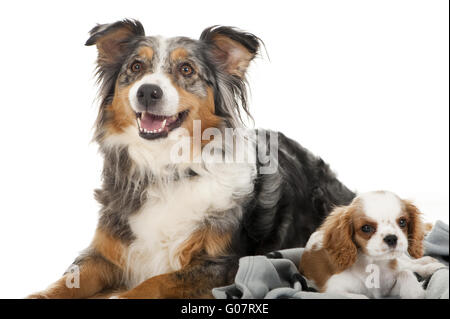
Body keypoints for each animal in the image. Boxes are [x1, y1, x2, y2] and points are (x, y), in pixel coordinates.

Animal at [29, 19, 356, 300]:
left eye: (186, 69)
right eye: (136, 66)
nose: (147, 91)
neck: (165, 166)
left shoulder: (224, 264)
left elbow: (157, 281)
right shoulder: (105, 252)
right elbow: (68, 280)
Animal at [300, 191, 444, 298]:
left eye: (402, 222)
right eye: (366, 228)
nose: (391, 238)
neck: (374, 263)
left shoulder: (389, 286)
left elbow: (406, 273)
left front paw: (415, 291)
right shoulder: (333, 289)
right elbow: (362, 296)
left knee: (410, 265)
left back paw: (430, 265)